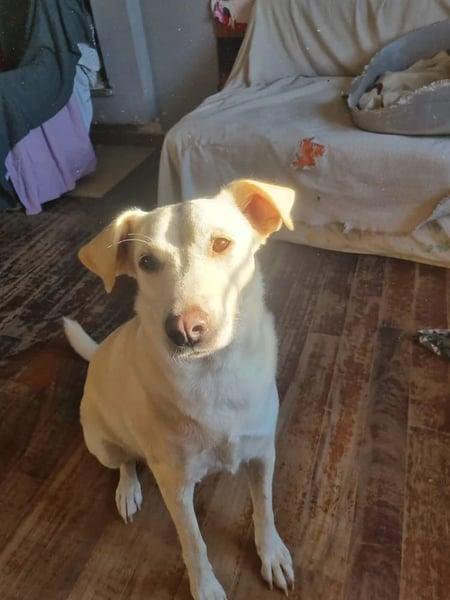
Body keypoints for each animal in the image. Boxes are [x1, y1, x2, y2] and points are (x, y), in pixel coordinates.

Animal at [64, 179, 295, 600]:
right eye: (146, 263)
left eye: (221, 244)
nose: (184, 330)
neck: (213, 373)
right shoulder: (174, 485)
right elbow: (193, 542)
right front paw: (205, 587)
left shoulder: (262, 454)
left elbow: (264, 508)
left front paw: (271, 553)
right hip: (102, 444)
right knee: (125, 462)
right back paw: (127, 490)